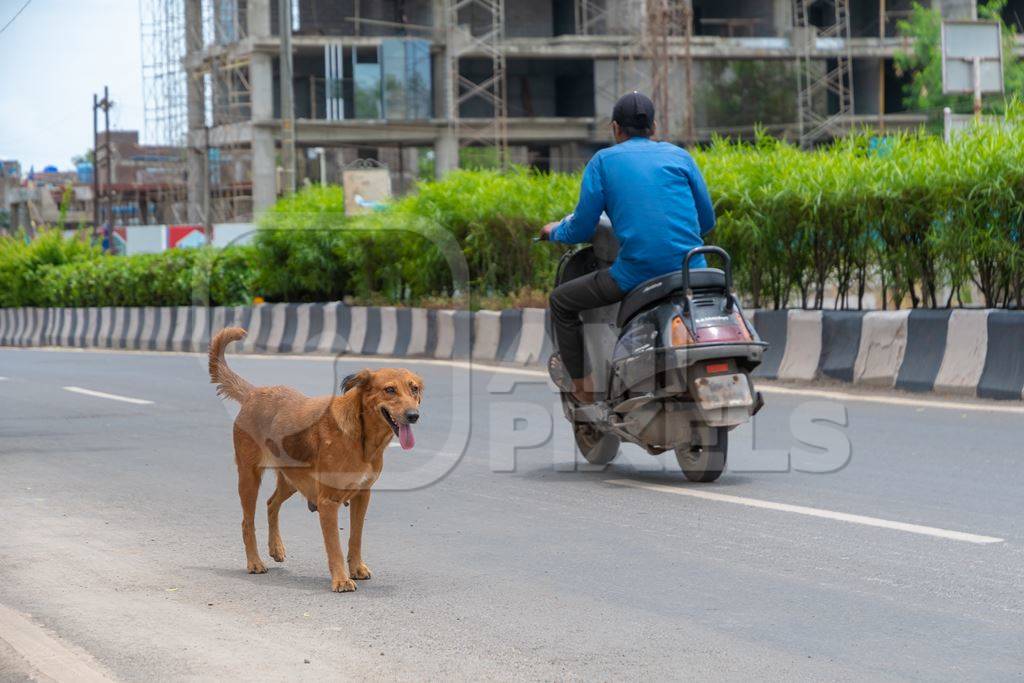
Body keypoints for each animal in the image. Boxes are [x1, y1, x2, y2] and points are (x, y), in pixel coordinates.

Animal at [205, 327, 421, 593]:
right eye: (390, 390)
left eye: (414, 389)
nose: (413, 416)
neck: (361, 437)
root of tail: (254, 393)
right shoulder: (327, 502)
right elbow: (334, 546)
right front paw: (341, 579)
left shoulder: (362, 495)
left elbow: (355, 537)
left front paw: (356, 568)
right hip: (249, 478)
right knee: (248, 522)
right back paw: (254, 562)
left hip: (292, 480)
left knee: (271, 503)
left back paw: (276, 548)